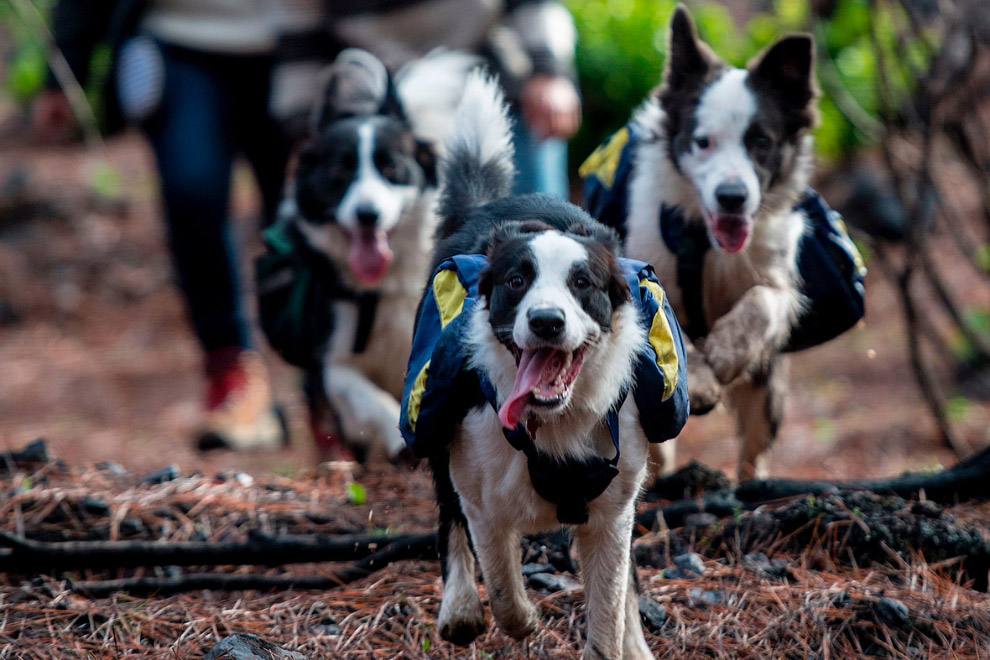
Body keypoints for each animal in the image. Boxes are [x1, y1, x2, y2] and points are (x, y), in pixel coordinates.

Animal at [270, 49, 474, 462]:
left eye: (391, 167)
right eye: (338, 172)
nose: (368, 215)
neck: (382, 288)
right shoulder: (331, 358)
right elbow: (367, 396)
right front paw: (396, 439)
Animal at [404, 69, 688, 656]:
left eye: (583, 283)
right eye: (517, 281)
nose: (546, 322)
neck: (554, 421)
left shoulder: (612, 513)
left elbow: (610, 605)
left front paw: (617, 641)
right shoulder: (481, 498)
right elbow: (502, 584)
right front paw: (520, 620)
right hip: (434, 425)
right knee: (448, 518)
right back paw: (459, 608)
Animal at [620, 5, 820, 480]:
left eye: (761, 141)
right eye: (702, 142)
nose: (732, 197)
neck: (708, 245)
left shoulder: (779, 280)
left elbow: (762, 302)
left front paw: (724, 356)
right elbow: (666, 322)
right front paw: (701, 379)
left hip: (768, 392)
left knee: (753, 448)